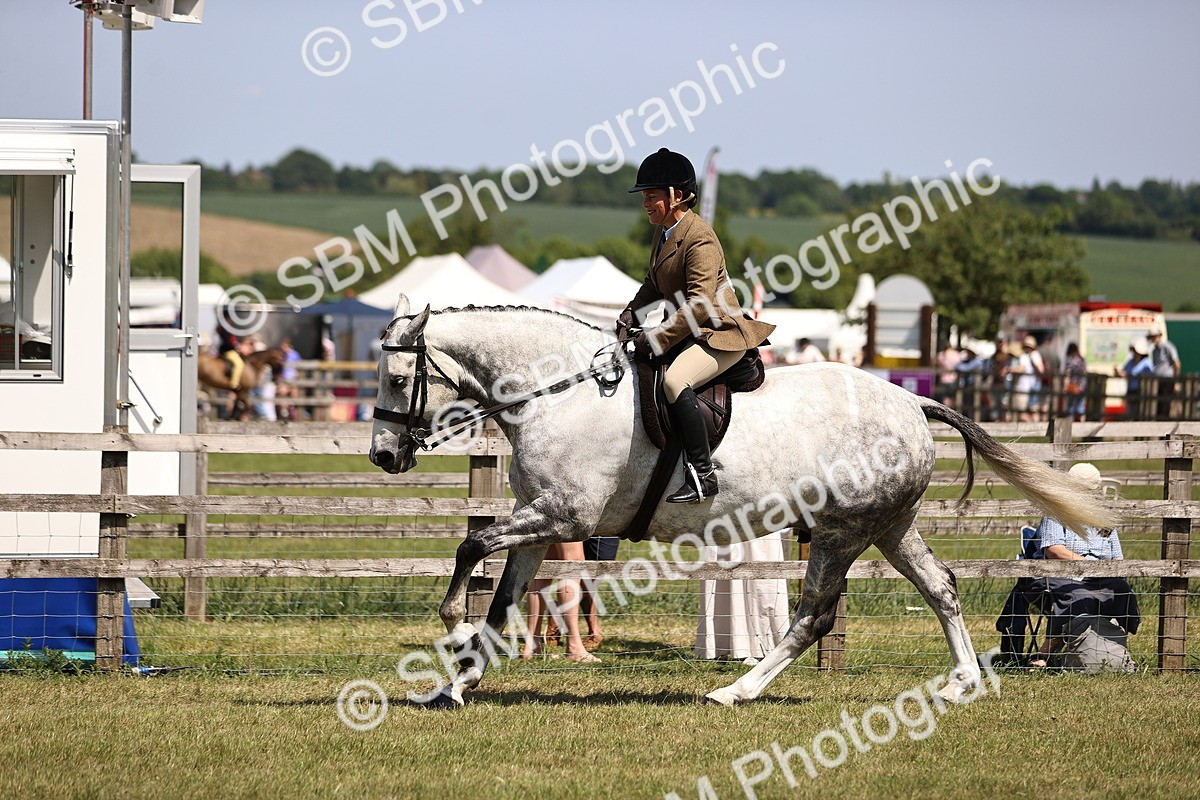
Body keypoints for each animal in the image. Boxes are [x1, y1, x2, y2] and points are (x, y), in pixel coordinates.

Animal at [369, 296, 1116, 709]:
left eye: (400, 377)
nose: (381, 455)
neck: (559, 391)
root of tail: (912, 401)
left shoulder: (563, 515)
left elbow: (470, 545)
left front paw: (450, 630)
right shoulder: (540, 522)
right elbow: (501, 600)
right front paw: (457, 683)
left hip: (842, 531)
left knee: (814, 616)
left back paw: (737, 690)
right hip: (889, 526)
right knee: (943, 588)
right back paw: (960, 684)